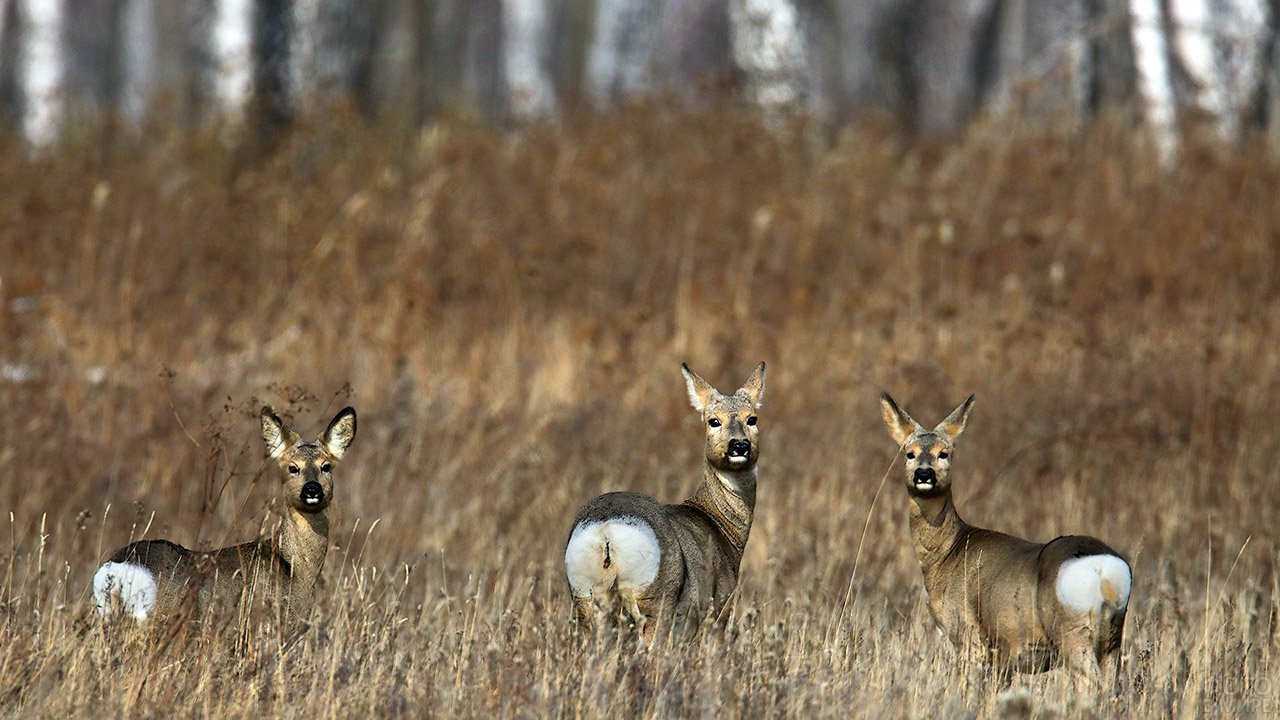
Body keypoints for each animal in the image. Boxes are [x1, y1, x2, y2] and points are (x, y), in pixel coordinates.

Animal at [880, 394, 1131, 681]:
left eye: (944, 453)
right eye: (909, 453)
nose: (924, 474)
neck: (945, 554)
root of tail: (1105, 571)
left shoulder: (969, 634)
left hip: (1073, 632)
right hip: (1112, 638)